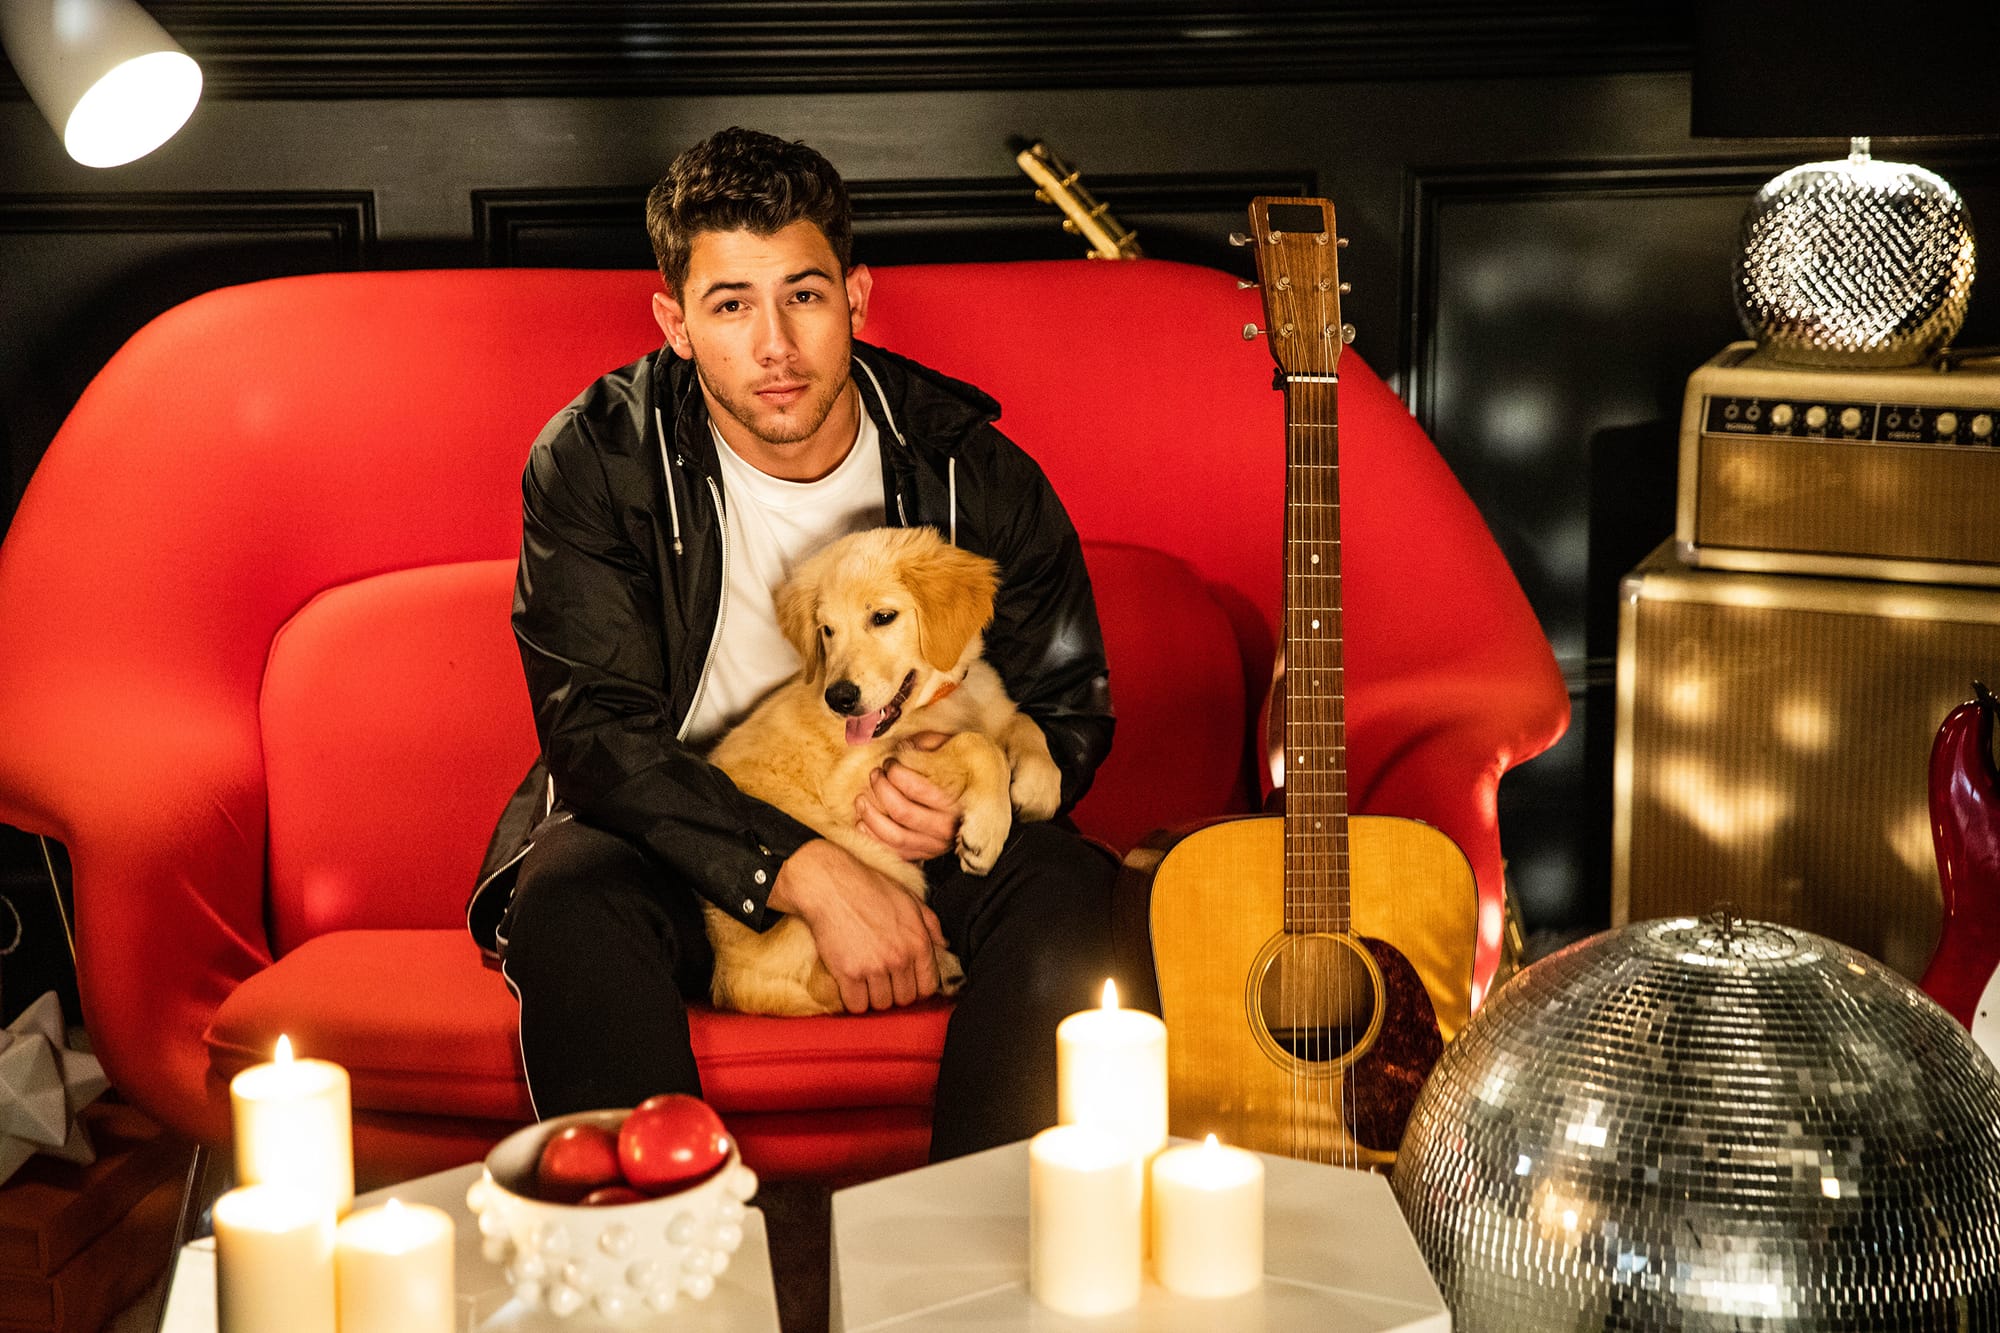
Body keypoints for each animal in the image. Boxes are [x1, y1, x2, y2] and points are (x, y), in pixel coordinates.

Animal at [703, 526, 1065, 1016]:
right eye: (827, 630)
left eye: (883, 617)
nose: (838, 698)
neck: (940, 701)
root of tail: (726, 977)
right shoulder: (856, 778)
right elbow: (978, 744)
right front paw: (987, 831)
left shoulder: (989, 705)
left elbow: (1021, 723)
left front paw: (1040, 784)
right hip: (868, 865)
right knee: (823, 987)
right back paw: (940, 967)